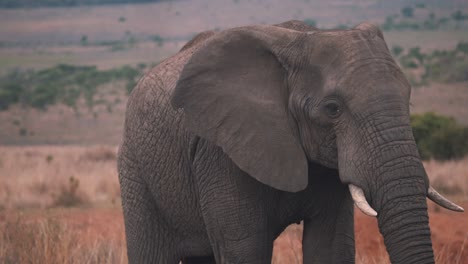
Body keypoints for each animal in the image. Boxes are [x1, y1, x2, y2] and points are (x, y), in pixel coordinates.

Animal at [118, 19, 464, 262]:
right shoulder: (220, 153)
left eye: (408, 100)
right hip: (135, 170)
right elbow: (245, 248)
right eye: (333, 109)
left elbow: (331, 246)